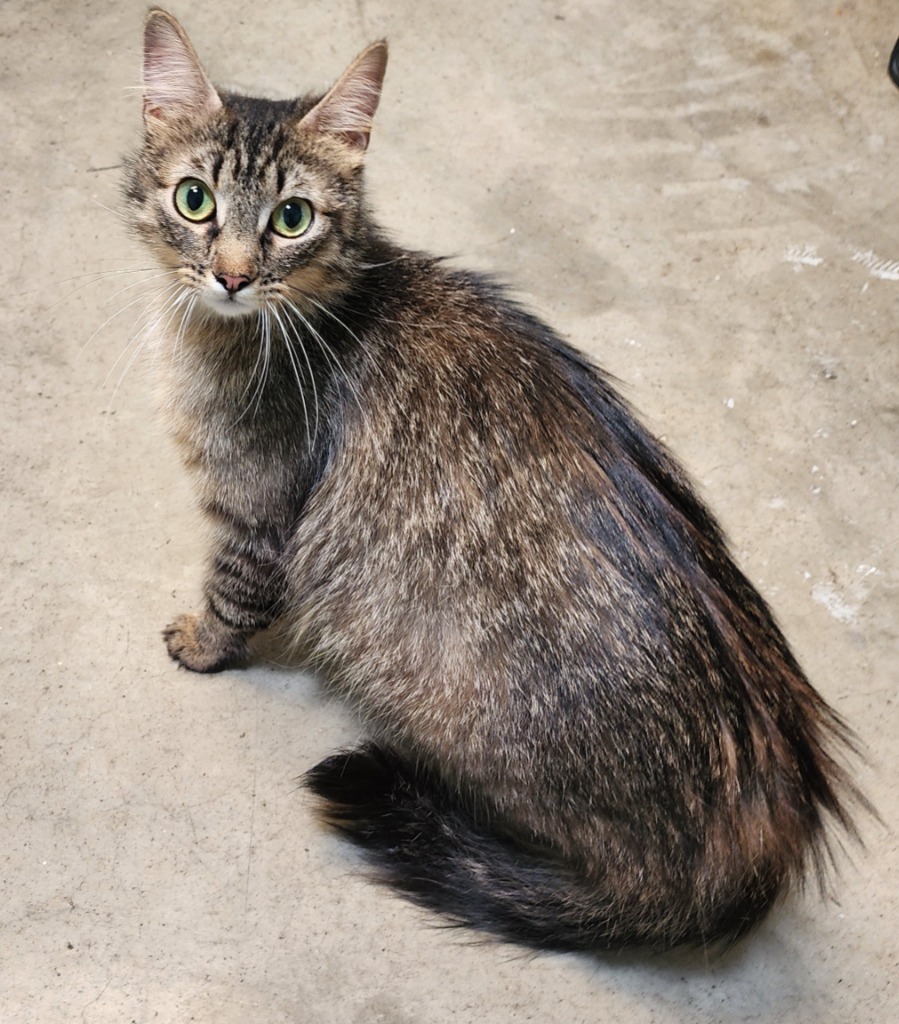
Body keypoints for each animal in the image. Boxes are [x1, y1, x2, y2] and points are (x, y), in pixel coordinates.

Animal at [124, 6, 864, 950]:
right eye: (195, 200)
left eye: (291, 218)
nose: (232, 275)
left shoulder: (257, 516)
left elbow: (232, 596)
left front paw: (200, 643)